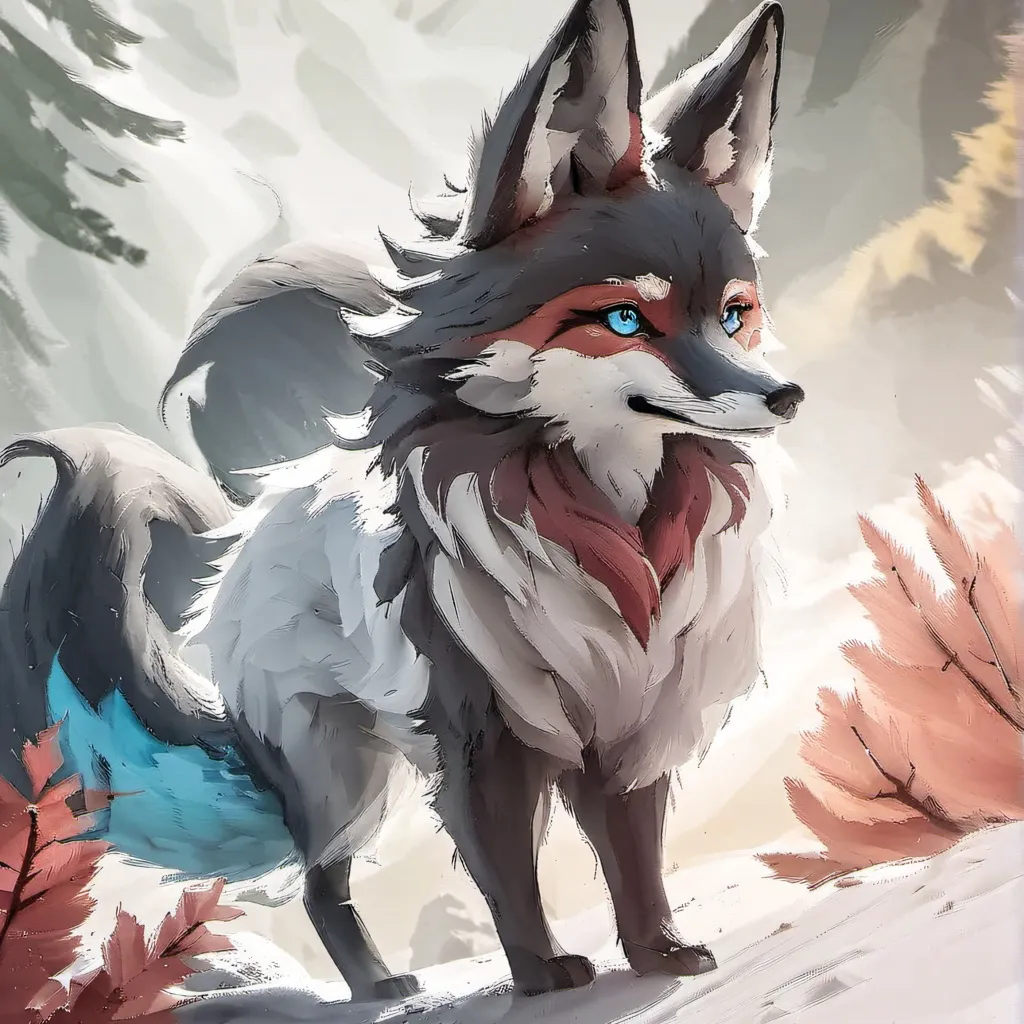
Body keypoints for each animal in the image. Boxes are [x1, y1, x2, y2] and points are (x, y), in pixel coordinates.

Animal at [0, 0, 800, 1002]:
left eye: (733, 314)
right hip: (342, 774)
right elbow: (507, 870)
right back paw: (377, 986)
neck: (603, 527)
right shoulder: (479, 730)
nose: (784, 396)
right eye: (626, 320)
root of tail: (251, 518)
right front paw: (543, 974)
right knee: (318, 884)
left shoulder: (631, 723)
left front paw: (658, 952)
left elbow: (635, 859)